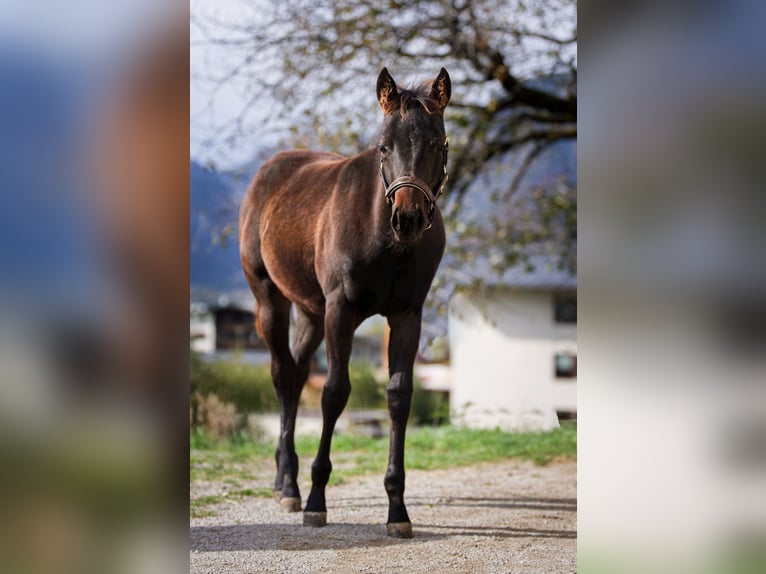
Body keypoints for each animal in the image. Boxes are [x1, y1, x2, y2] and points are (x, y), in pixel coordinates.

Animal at [240, 68, 450, 540]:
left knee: (297, 373)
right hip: (270, 300)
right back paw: (290, 487)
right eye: (384, 146)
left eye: (437, 143)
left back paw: (285, 480)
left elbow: (399, 396)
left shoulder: (408, 316)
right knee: (282, 374)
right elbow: (335, 393)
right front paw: (317, 500)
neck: (383, 237)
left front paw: (397, 509)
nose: (408, 219)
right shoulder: (341, 311)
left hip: (310, 311)